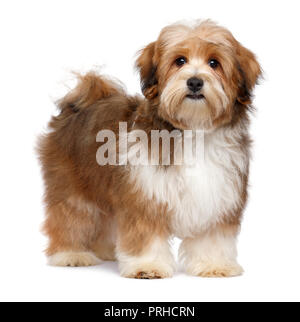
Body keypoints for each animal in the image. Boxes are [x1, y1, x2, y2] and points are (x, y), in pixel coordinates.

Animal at [39, 20, 260, 278]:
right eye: (180, 61)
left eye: (214, 63)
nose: (195, 81)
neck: (193, 130)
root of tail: (82, 102)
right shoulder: (143, 194)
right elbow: (146, 234)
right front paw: (147, 266)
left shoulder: (217, 195)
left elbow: (213, 236)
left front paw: (214, 264)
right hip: (71, 183)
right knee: (70, 217)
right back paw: (70, 254)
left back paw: (105, 250)